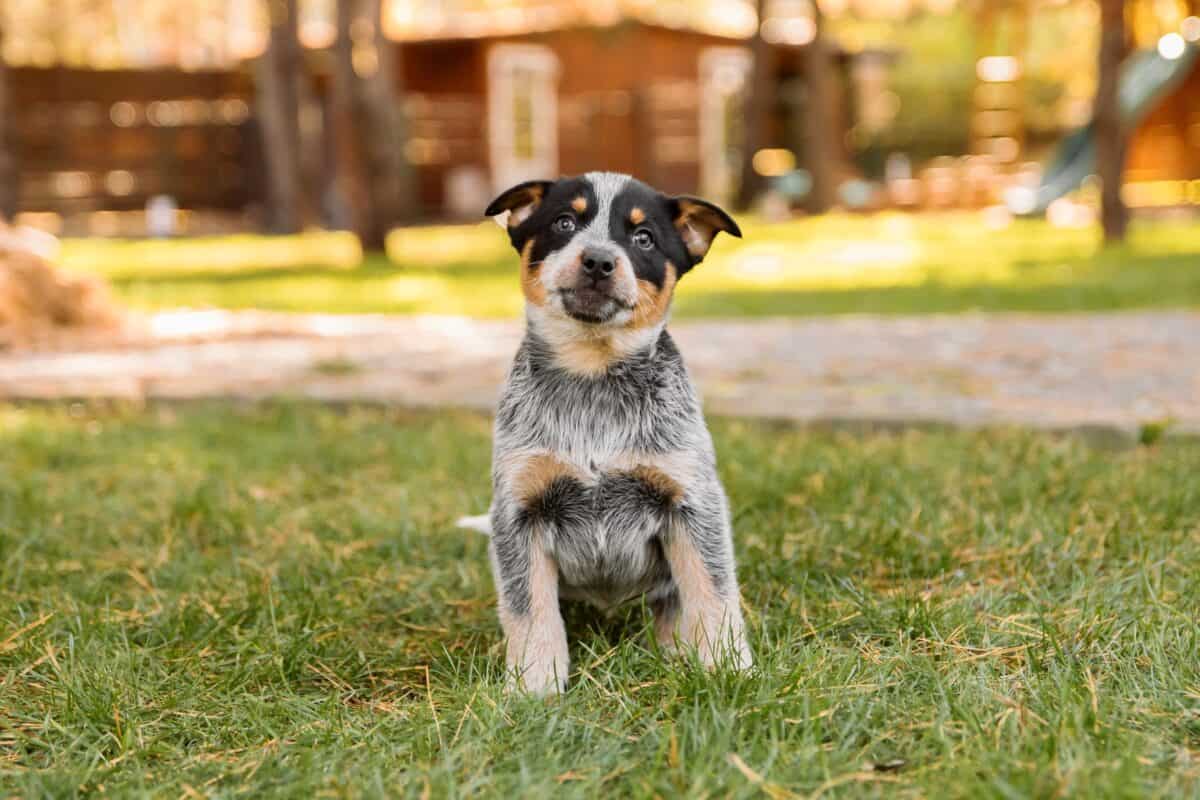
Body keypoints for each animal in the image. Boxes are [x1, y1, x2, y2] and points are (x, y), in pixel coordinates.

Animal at [465, 170, 753, 695]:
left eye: (644, 238)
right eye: (564, 221)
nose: (598, 260)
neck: (593, 379)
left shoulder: (692, 502)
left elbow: (712, 593)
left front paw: (729, 668)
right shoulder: (520, 511)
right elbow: (529, 610)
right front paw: (534, 686)